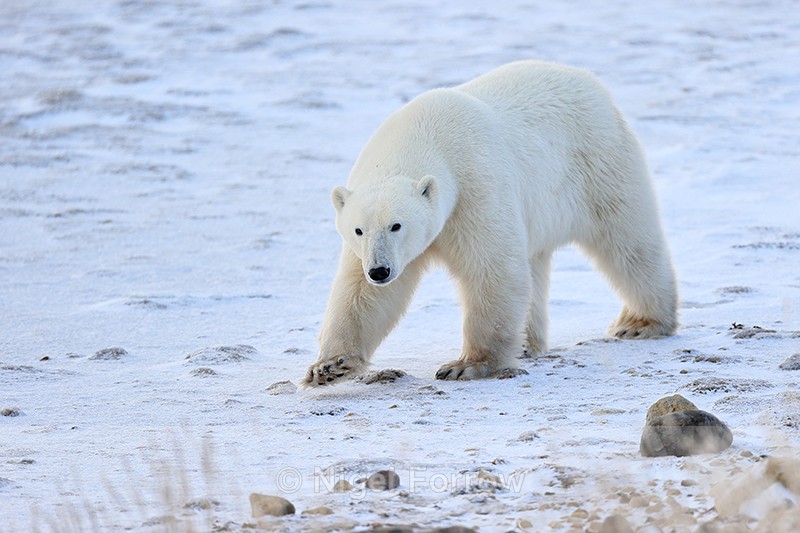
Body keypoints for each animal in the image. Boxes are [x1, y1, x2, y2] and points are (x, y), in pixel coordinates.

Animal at [305, 60, 678, 385]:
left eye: (397, 225)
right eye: (358, 229)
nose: (380, 271)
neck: (425, 135)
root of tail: (589, 81)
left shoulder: (475, 188)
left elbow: (492, 269)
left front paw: (466, 365)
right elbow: (361, 294)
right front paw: (329, 366)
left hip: (598, 164)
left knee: (627, 241)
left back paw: (641, 321)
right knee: (535, 264)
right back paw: (527, 343)